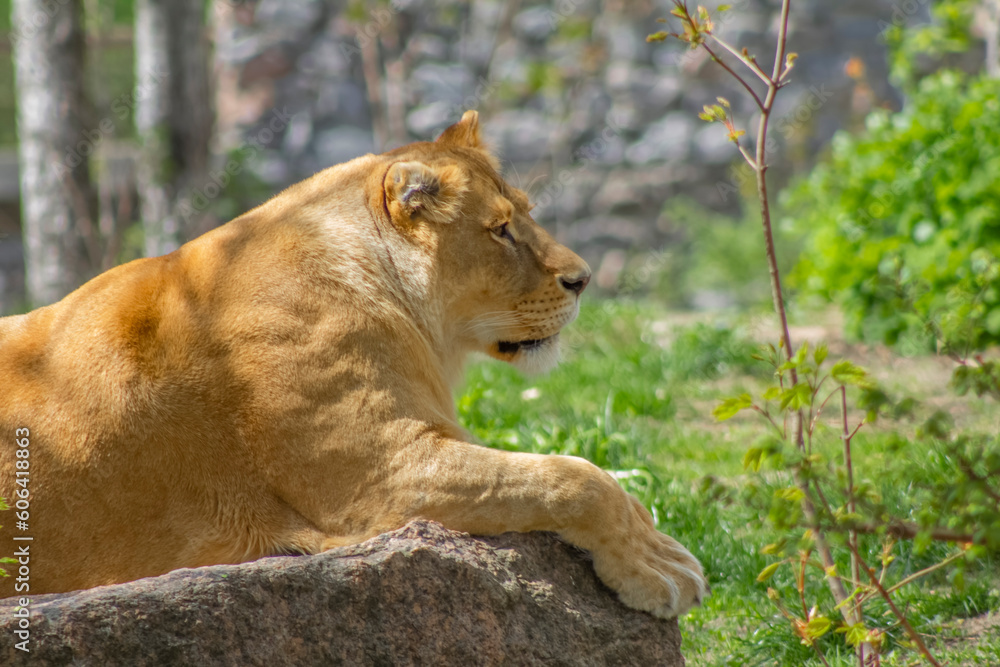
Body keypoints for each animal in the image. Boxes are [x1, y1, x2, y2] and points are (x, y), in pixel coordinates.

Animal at [0, 111, 706, 618]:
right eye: (501, 229)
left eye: (526, 215)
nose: (582, 280)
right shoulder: (380, 480)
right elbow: (575, 476)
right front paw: (662, 569)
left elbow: (589, 475)